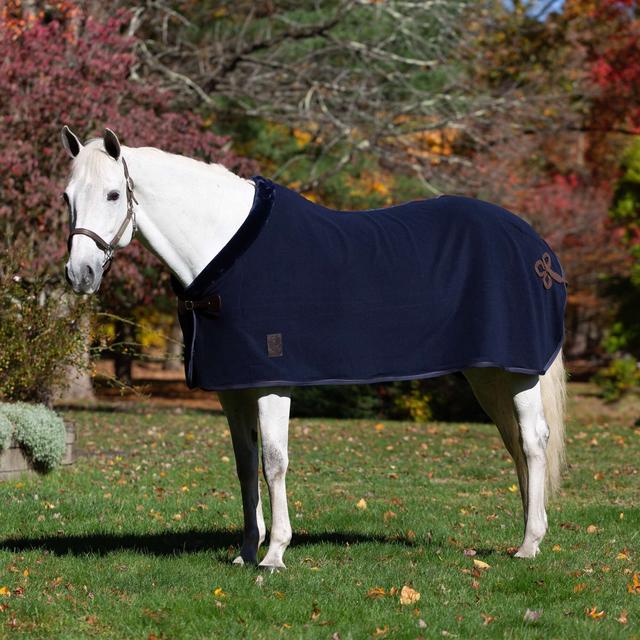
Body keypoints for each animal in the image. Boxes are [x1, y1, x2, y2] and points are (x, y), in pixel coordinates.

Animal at [61, 126, 567, 570]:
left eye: (113, 195)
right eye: (67, 197)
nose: (79, 273)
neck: (223, 251)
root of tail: (538, 248)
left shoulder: (272, 383)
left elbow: (274, 463)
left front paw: (275, 554)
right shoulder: (234, 388)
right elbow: (245, 465)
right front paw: (245, 551)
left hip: (519, 372)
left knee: (532, 442)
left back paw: (529, 545)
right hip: (489, 372)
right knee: (514, 443)